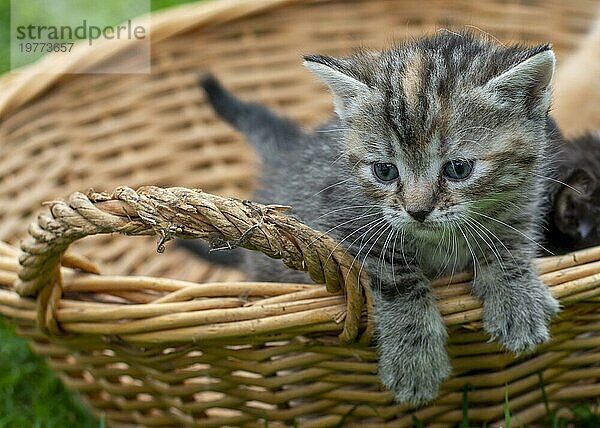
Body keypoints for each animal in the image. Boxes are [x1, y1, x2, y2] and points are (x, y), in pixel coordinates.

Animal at [185, 31, 560, 402]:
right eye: (384, 171)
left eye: (458, 168)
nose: (417, 211)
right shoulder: (348, 224)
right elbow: (398, 279)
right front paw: (413, 360)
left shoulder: (522, 205)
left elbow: (509, 245)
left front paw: (518, 303)